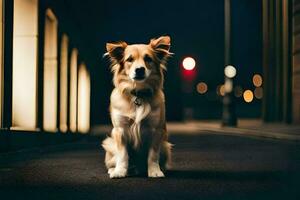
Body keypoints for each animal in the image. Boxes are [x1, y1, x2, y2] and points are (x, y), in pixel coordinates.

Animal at [102, 36, 173, 178]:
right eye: (129, 59)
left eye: (148, 59)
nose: (139, 69)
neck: (138, 92)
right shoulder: (120, 131)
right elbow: (123, 155)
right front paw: (120, 171)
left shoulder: (156, 131)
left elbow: (153, 155)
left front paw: (154, 171)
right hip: (109, 144)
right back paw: (115, 169)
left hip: (165, 146)